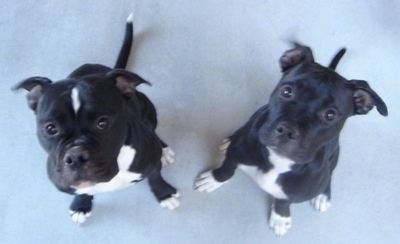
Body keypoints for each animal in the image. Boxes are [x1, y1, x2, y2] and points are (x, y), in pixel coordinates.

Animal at [12, 14, 179, 224]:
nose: (76, 157)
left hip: (148, 109)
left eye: (103, 123)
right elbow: (83, 192)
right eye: (51, 128)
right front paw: (81, 206)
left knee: (152, 130)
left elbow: (155, 177)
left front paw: (164, 194)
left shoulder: (151, 164)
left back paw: (164, 150)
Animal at [195, 43, 390, 236]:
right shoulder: (235, 155)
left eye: (330, 115)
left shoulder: (296, 193)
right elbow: (226, 169)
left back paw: (323, 196)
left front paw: (280, 218)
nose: (287, 130)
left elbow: (284, 201)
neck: (279, 160)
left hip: (334, 157)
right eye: (287, 91)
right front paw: (213, 179)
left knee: (329, 175)